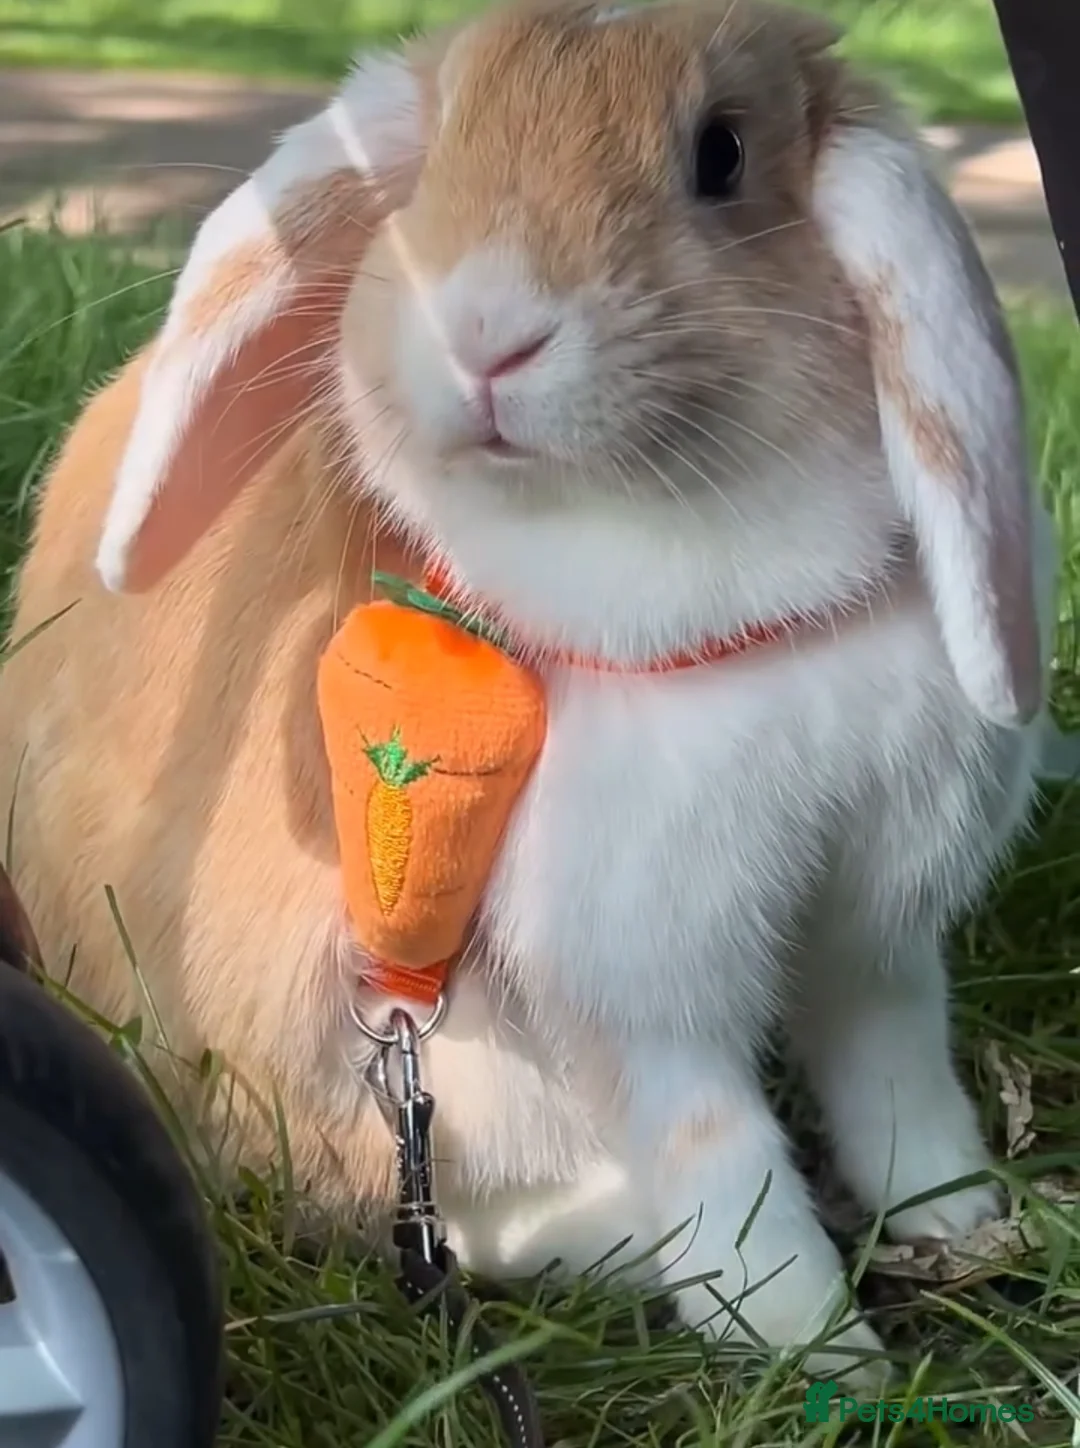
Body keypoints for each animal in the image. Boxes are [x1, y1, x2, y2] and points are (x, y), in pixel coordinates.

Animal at [0, 0, 1060, 1388]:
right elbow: (723, 1160)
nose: (488, 331)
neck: (738, 627)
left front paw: (958, 1216)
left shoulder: (876, 928)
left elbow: (898, 1074)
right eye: (438, 153)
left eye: (721, 154)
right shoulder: (638, 987)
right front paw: (828, 1357)